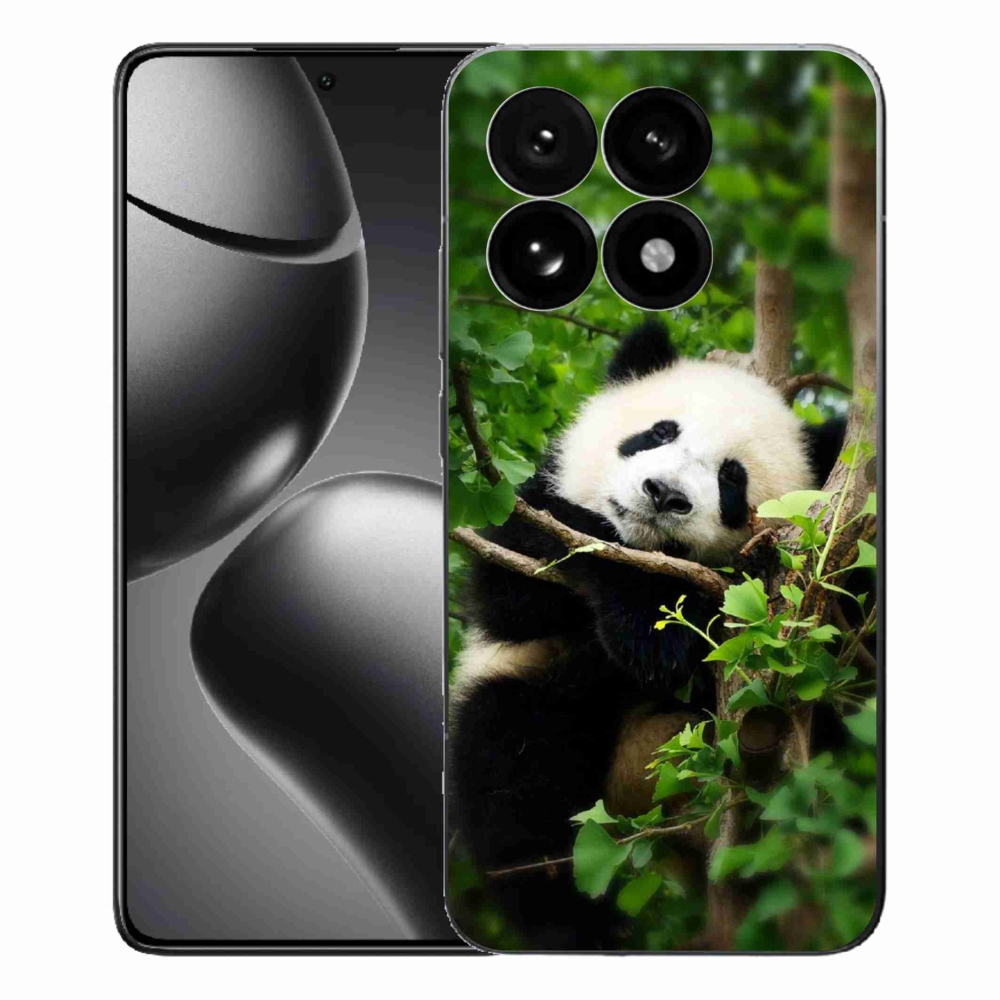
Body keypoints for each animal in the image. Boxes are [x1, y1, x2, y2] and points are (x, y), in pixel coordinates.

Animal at [448, 321, 845, 950]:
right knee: (515, 787)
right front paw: (653, 630)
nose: (663, 494)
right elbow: (517, 585)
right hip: (536, 701)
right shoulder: (524, 512)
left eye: (732, 479)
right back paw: (579, 924)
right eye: (659, 432)